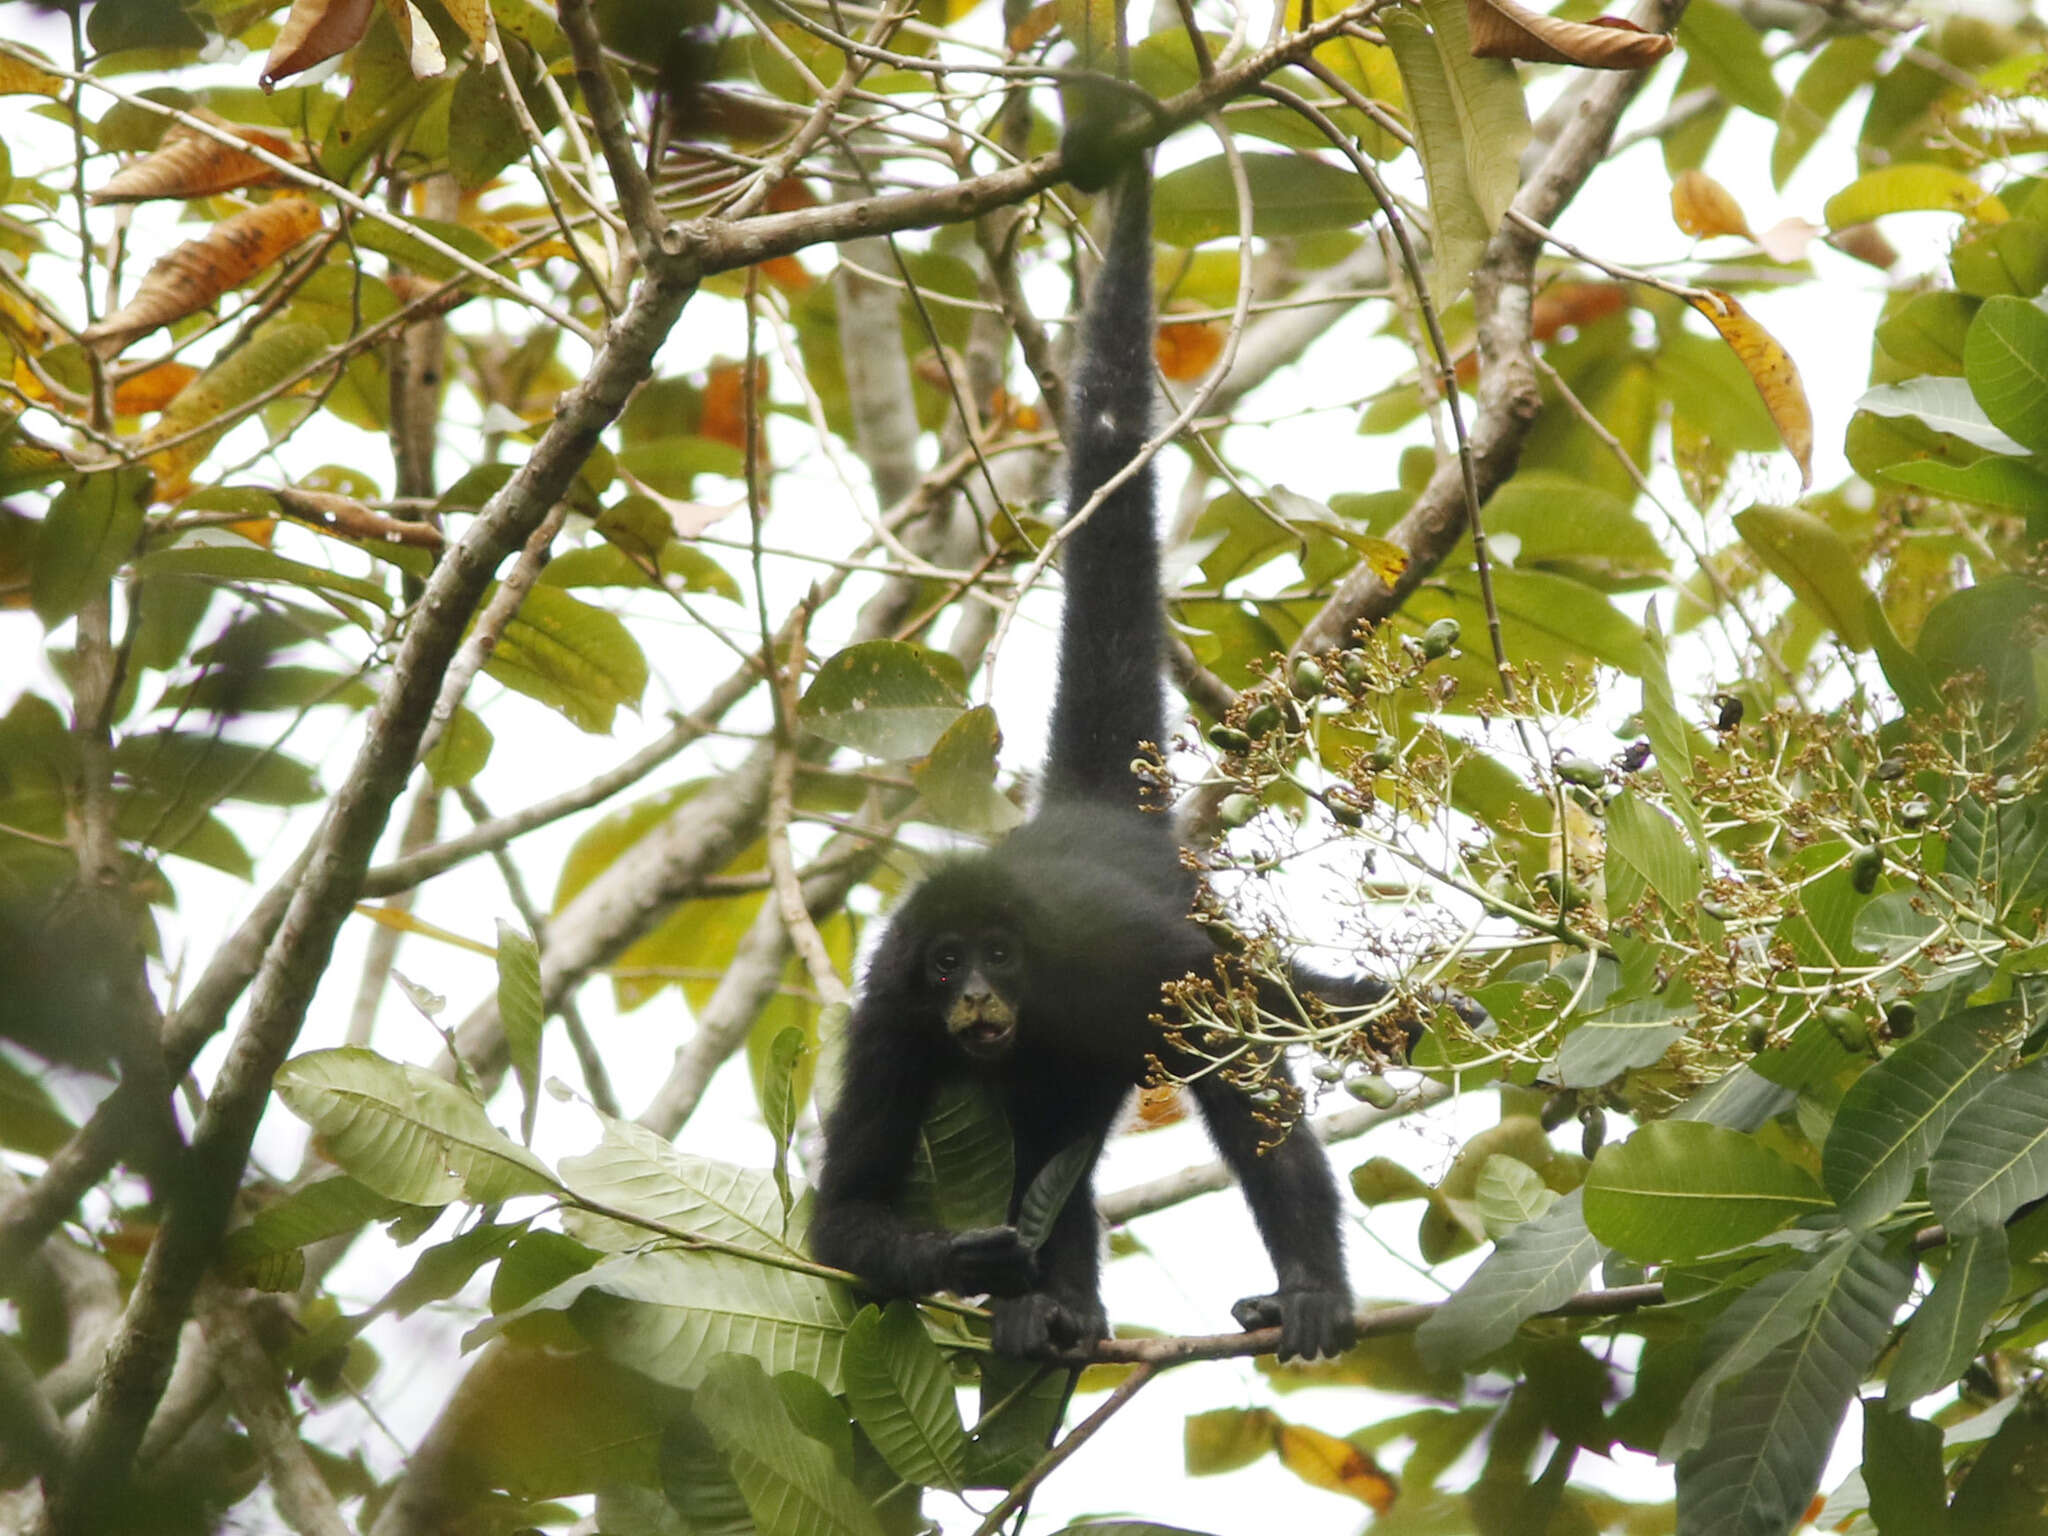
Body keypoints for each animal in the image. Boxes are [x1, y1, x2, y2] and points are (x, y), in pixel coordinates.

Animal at [806, 126, 1384, 1368]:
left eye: (998, 954)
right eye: (943, 964)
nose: (976, 992)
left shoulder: (1119, 962)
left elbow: (1240, 1055)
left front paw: (1311, 1285)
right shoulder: (888, 1024)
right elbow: (841, 1219)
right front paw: (976, 1262)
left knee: (1256, 1004)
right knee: (1048, 1133)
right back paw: (1054, 1306)